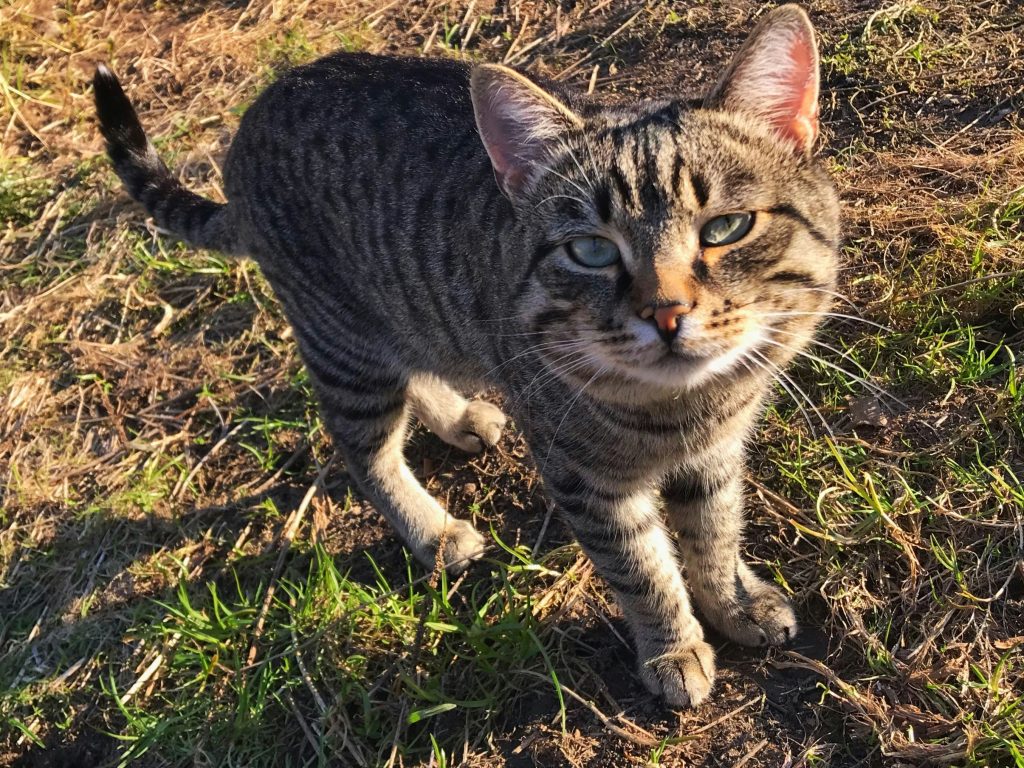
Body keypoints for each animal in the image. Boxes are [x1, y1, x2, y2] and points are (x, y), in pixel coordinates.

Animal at [90, 6, 839, 708]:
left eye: (726, 228)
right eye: (590, 250)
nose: (666, 312)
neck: (685, 410)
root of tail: (251, 122)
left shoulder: (715, 454)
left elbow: (715, 535)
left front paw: (735, 602)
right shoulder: (584, 478)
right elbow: (643, 570)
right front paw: (673, 649)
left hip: (404, 317)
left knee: (416, 368)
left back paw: (459, 419)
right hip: (345, 345)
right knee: (362, 449)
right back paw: (432, 531)